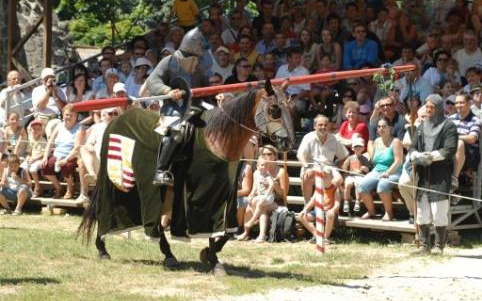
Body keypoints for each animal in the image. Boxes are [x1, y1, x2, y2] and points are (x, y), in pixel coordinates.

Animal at [78, 79, 294, 274]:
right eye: (274, 109)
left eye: (289, 107)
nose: (288, 143)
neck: (216, 140)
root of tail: (115, 121)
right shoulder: (205, 196)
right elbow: (213, 227)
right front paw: (214, 260)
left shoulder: (227, 196)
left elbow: (225, 232)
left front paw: (208, 254)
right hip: (120, 185)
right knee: (105, 210)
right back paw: (103, 249)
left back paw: (167, 255)